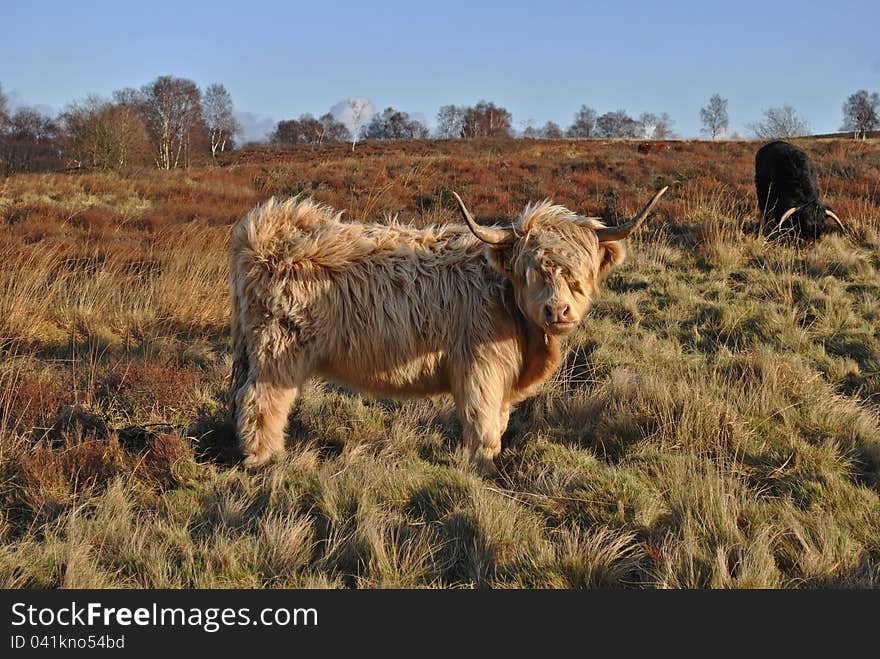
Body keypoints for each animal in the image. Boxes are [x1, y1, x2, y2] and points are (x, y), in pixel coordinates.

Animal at [227, 187, 668, 474]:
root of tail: (265, 226)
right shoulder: (479, 369)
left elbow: (500, 421)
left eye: (578, 274)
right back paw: (264, 461)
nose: (557, 309)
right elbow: (483, 425)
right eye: (532, 270)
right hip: (277, 350)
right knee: (262, 402)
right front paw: (484, 472)